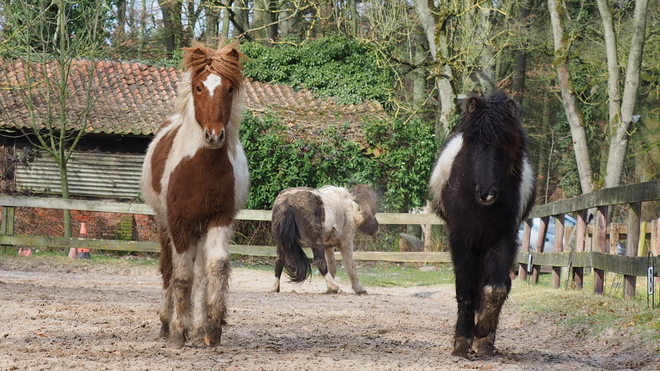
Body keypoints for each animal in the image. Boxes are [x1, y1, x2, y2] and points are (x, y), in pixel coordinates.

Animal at [141, 42, 249, 350]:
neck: (201, 169)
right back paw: (166, 323)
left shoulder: (220, 219)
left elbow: (216, 268)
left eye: (229, 89)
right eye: (199, 87)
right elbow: (181, 275)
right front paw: (179, 331)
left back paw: (199, 327)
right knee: (168, 268)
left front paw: (212, 328)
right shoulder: (178, 223)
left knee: (201, 272)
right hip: (164, 224)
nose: (214, 136)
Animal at [428, 89, 536, 358]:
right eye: (473, 142)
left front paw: (483, 332)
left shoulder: (503, 237)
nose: (487, 193)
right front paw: (462, 342)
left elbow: (496, 288)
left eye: (506, 143)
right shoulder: (460, 239)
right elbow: (466, 288)